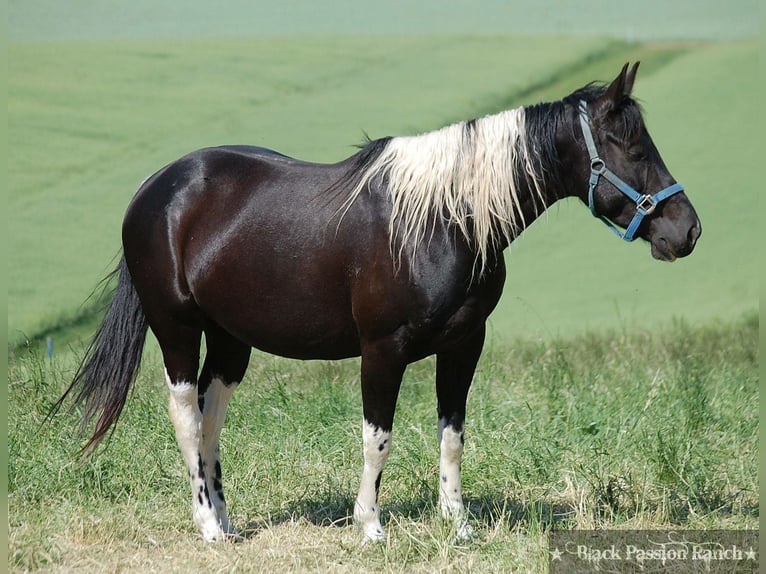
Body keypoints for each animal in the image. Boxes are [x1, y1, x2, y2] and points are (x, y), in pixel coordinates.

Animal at [53, 62, 701, 543]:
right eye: (630, 147)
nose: (687, 230)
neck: (444, 220)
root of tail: (156, 188)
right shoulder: (381, 351)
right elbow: (377, 436)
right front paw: (371, 528)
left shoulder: (464, 345)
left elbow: (452, 433)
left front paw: (457, 525)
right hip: (178, 329)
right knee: (187, 414)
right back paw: (208, 527)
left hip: (231, 338)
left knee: (213, 415)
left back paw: (229, 521)